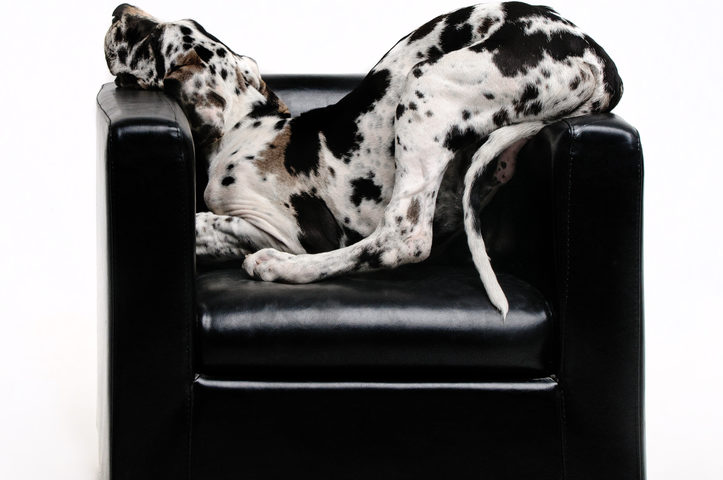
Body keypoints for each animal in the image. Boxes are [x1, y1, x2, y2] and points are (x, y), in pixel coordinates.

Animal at [104, 3, 624, 318]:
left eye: (153, 40)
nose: (118, 10)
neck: (240, 124)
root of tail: (602, 62)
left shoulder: (292, 229)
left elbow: (210, 220)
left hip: (424, 83)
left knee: (401, 240)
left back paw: (277, 268)